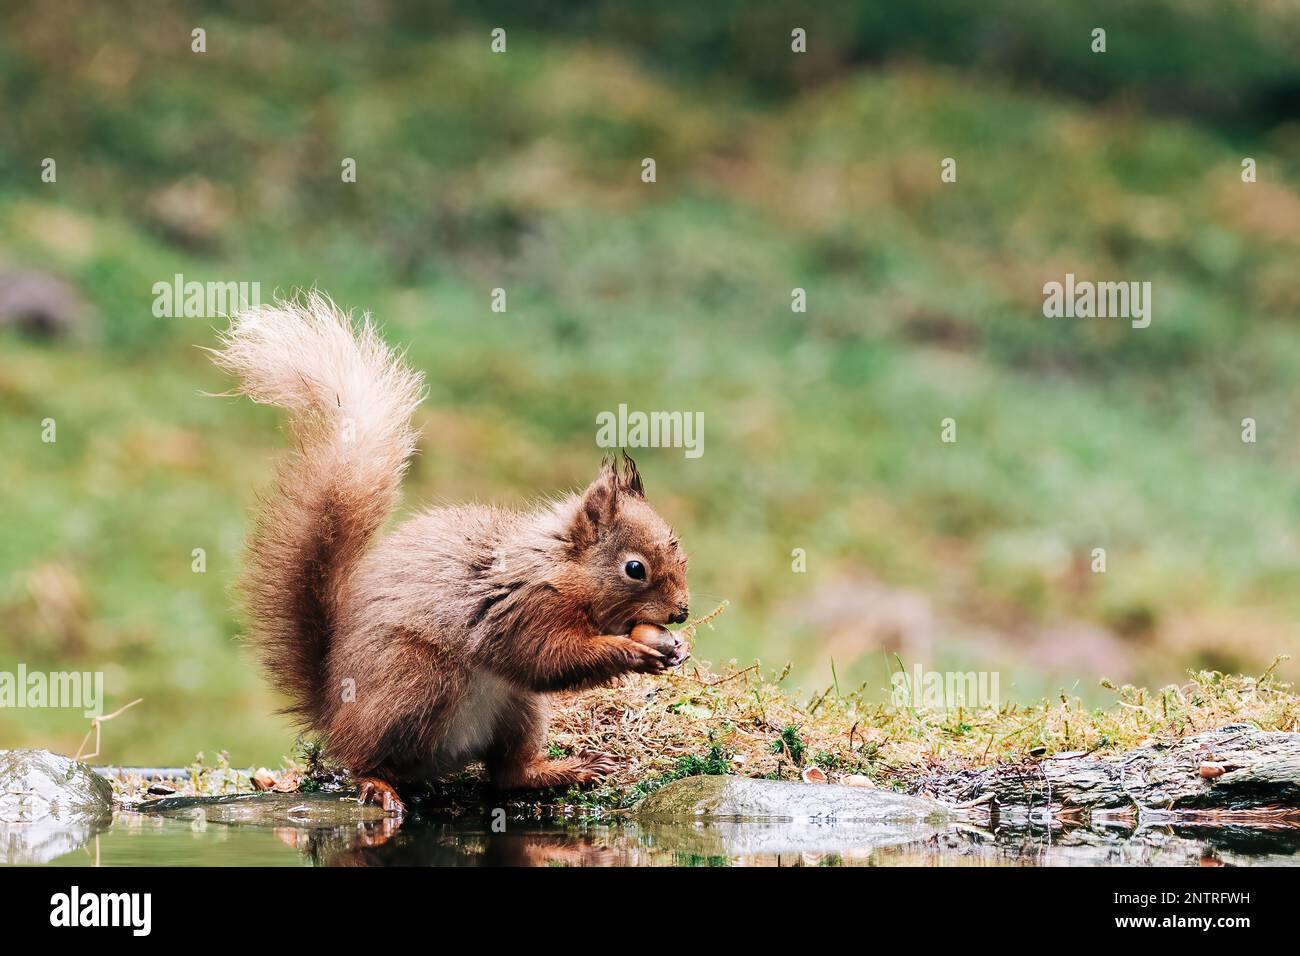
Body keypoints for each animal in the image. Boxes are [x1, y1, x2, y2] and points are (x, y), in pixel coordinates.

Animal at [210, 294, 690, 815]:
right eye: (635, 569)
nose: (682, 613)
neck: (561, 571)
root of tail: (334, 710)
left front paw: (677, 648)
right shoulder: (524, 611)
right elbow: (547, 658)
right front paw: (634, 651)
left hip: (518, 710)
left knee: (507, 775)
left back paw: (566, 770)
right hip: (415, 680)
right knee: (364, 758)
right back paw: (377, 784)